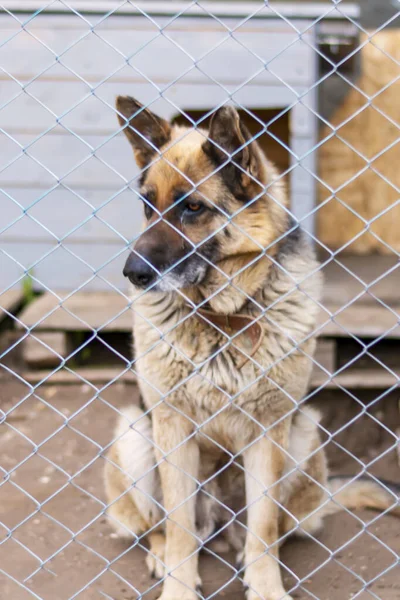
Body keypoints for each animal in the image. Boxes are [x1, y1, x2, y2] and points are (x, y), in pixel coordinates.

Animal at [104, 96, 400, 596]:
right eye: (148, 206)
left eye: (192, 208)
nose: (133, 274)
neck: (225, 317)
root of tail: (221, 526)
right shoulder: (172, 427)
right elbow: (179, 526)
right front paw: (179, 586)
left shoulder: (269, 432)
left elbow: (263, 526)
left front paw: (265, 586)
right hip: (134, 434)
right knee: (164, 527)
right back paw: (163, 555)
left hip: (302, 435)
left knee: (272, 527)